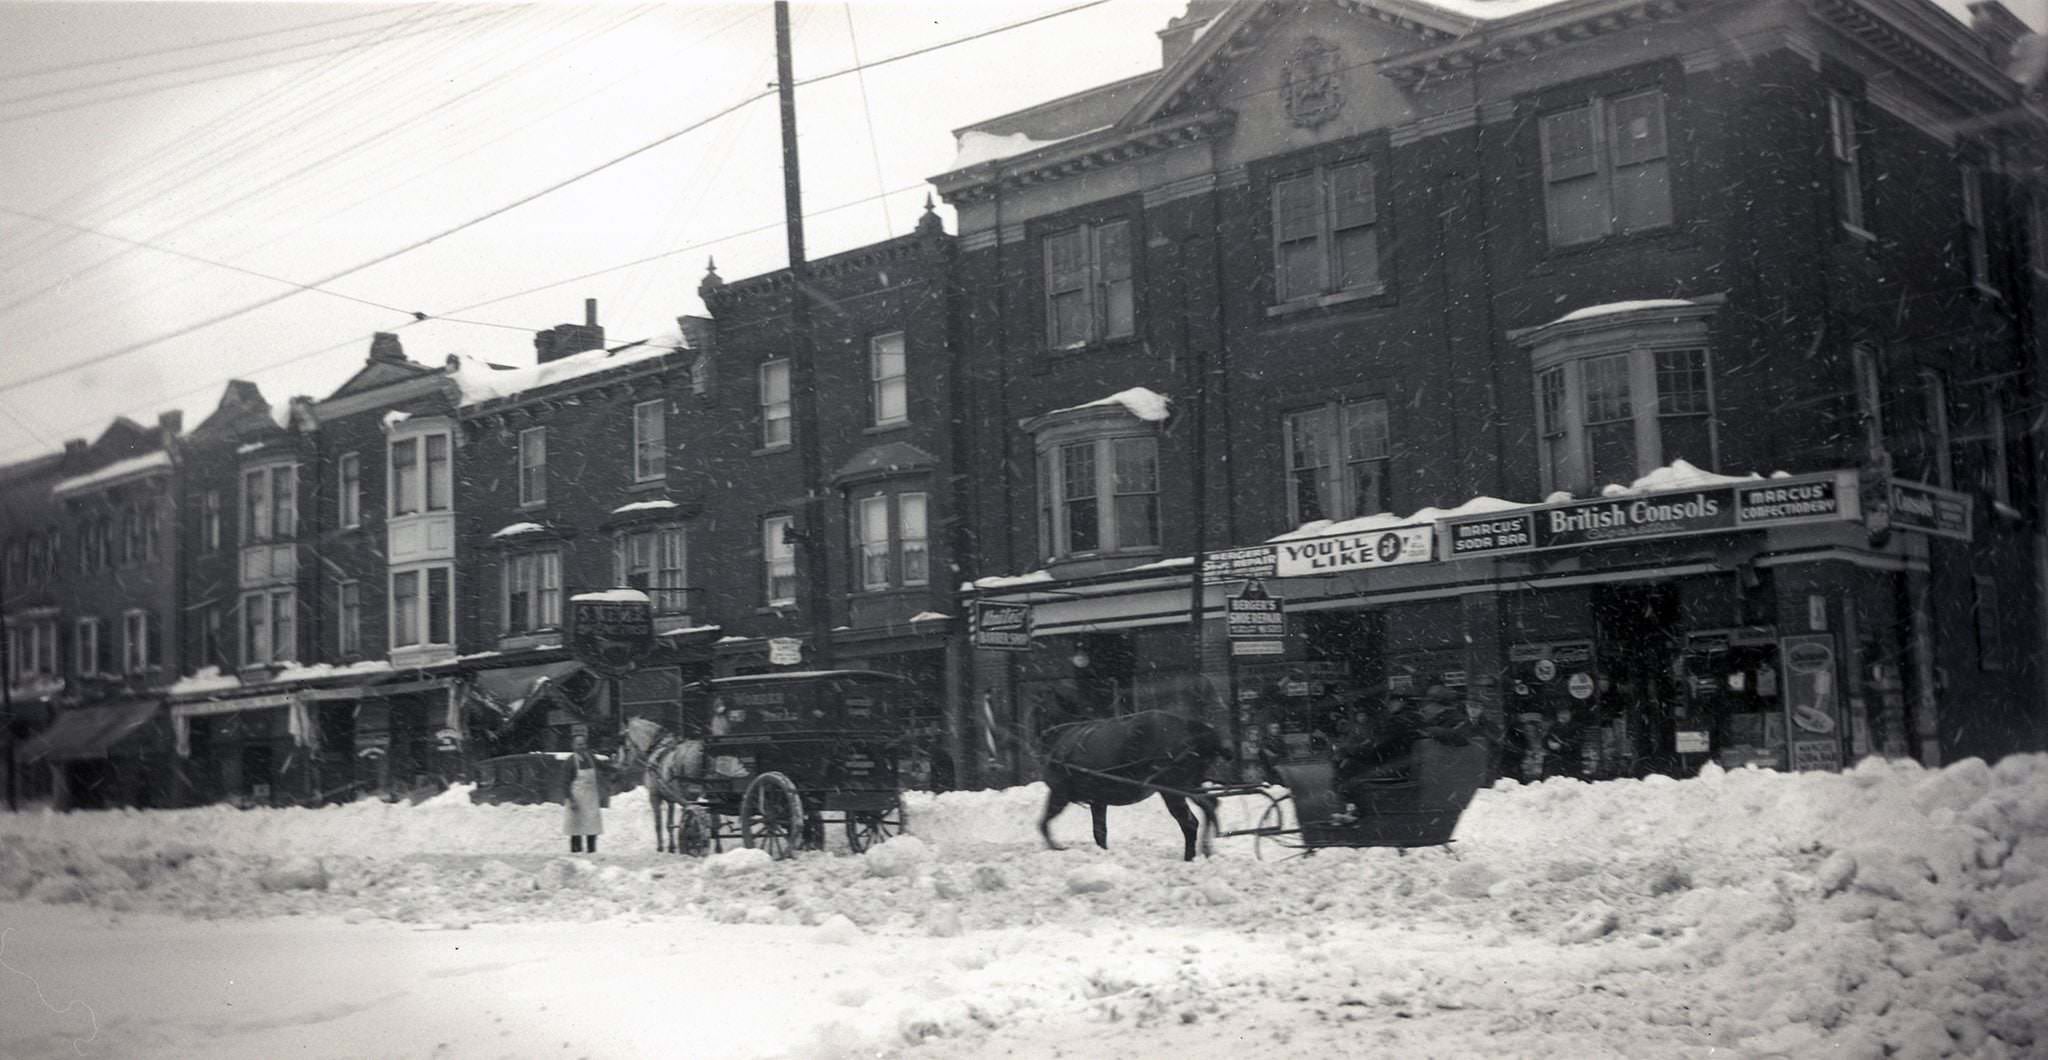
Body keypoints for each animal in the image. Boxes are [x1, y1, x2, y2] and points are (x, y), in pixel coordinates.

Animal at [614, 720, 712, 859]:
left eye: (623, 742)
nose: (619, 764)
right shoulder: (670, 798)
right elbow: (669, 824)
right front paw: (671, 848)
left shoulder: (654, 796)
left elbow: (658, 824)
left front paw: (660, 848)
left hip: (689, 795)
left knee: (695, 814)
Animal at [1040, 708, 1228, 863]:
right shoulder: (1098, 801)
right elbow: (1100, 832)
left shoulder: (1059, 793)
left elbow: (1043, 823)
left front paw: (1056, 848)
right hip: (1190, 785)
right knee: (1210, 806)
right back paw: (1206, 850)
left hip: (1173, 790)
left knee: (1190, 822)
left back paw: (1189, 857)